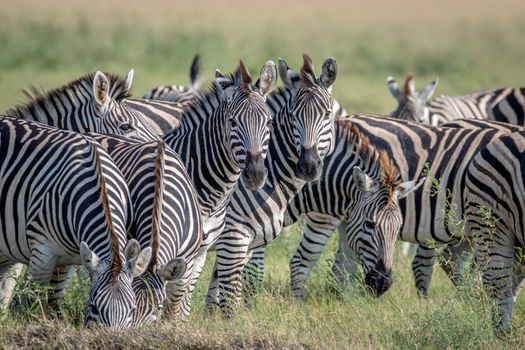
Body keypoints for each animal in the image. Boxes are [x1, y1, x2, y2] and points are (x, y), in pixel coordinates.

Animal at [0, 117, 151, 328]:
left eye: (132, 309)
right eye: (94, 307)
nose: (112, 336)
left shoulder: (70, 258)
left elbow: (53, 300)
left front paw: (53, 321)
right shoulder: (43, 254)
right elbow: (35, 300)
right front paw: (35, 324)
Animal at [123, 59, 278, 314]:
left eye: (269, 121)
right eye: (232, 122)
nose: (255, 175)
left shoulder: (201, 250)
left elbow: (183, 301)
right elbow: (173, 299)